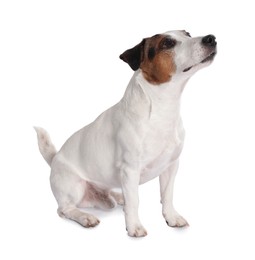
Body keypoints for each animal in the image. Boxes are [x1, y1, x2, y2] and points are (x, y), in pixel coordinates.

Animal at [34, 29, 216, 237]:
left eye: (188, 34)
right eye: (167, 43)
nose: (211, 38)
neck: (162, 108)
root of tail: (54, 159)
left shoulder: (171, 165)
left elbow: (167, 195)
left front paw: (172, 217)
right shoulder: (130, 169)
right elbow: (135, 201)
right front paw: (134, 226)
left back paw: (116, 196)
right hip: (74, 186)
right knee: (64, 209)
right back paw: (85, 217)